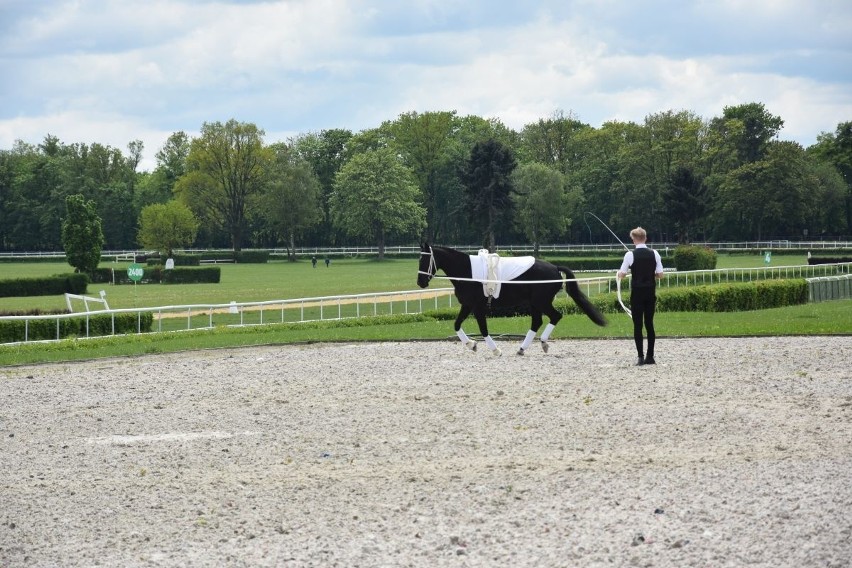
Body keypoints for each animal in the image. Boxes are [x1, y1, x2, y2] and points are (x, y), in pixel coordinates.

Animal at [418, 243, 604, 356]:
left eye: (424, 259)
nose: (420, 282)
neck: (467, 272)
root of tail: (554, 267)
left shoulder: (477, 307)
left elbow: (483, 329)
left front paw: (495, 350)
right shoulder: (467, 305)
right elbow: (456, 325)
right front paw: (472, 345)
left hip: (541, 302)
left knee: (555, 316)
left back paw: (542, 343)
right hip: (535, 303)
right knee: (537, 322)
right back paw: (522, 349)